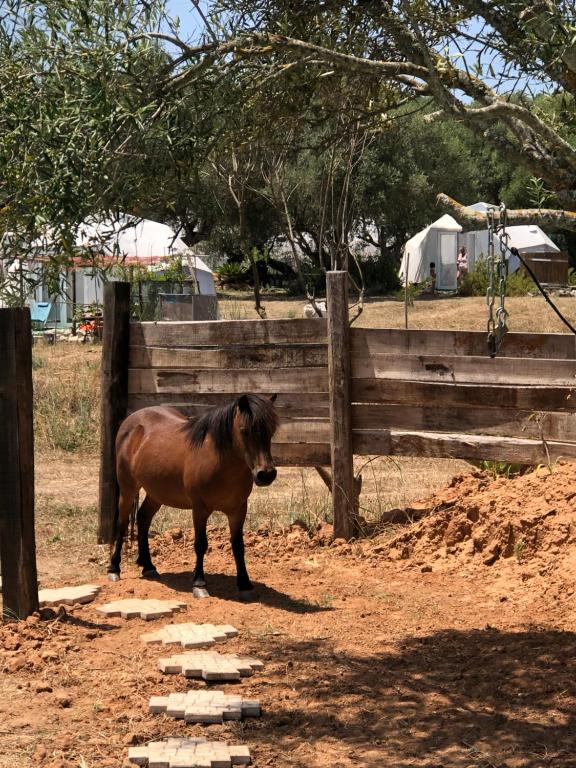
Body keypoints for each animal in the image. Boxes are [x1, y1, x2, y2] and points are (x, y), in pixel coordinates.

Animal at [109, 396, 280, 600]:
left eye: (271, 431)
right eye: (244, 431)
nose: (266, 474)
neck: (219, 462)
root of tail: (131, 421)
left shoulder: (238, 509)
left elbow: (239, 546)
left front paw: (245, 584)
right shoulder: (200, 509)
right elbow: (200, 544)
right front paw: (199, 584)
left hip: (156, 492)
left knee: (143, 518)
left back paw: (148, 566)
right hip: (127, 488)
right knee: (122, 523)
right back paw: (114, 569)